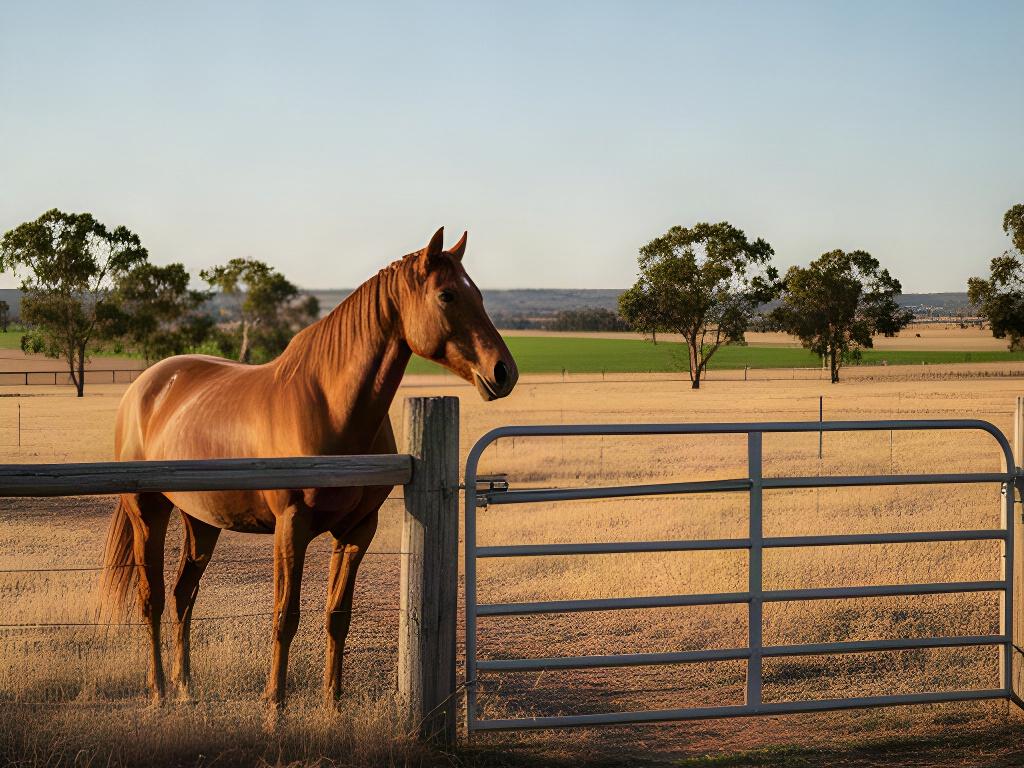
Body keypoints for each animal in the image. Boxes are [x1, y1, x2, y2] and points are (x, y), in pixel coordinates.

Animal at [101, 227, 518, 708]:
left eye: (479, 294)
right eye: (447, 295)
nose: (504, 371)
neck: (329, 404)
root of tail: (145, 386)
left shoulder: (358, 530)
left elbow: (338, 615)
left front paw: (332, 703)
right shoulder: (291, 525)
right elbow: (286, 616)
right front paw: (274, 705)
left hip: (201, 520)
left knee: (183, 594)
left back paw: (186, 686)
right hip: (147, 511)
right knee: (151, 598)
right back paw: (159, 691)